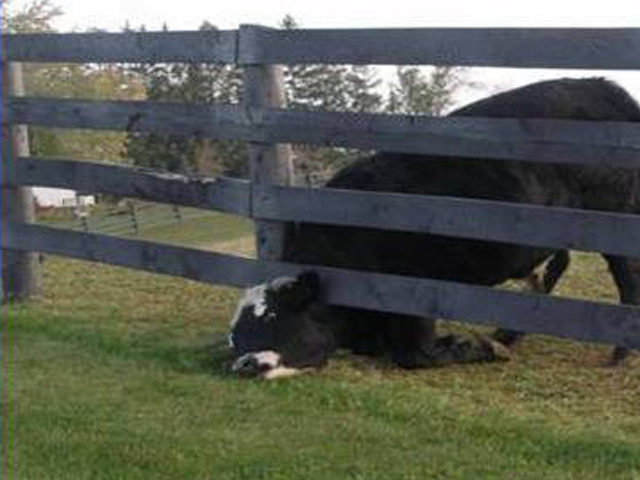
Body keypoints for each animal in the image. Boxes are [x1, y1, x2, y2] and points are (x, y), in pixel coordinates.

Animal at [229, 79, 640, 378]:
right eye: (234, 337)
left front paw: (479, 347)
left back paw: (619, 350)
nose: (243, 364)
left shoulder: (415, 290)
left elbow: (415, 355)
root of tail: (601, 86)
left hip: (615, 219)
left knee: (627, 277)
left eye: (272, 315)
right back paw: (510, 333)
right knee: (556, 268)